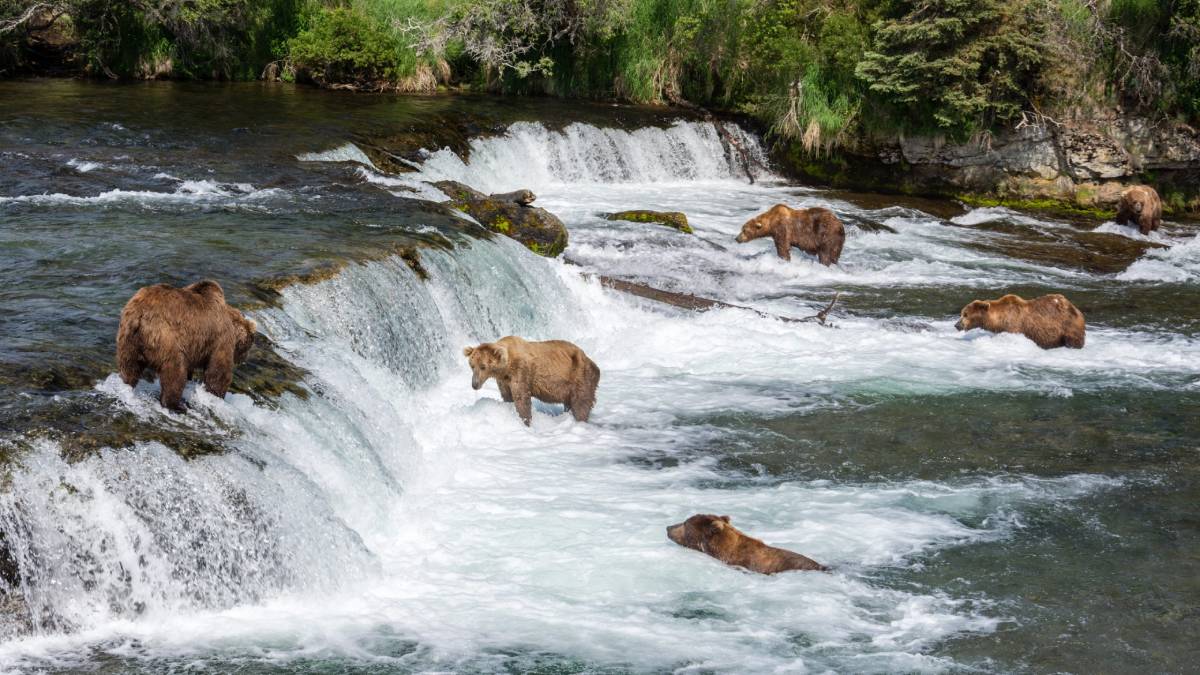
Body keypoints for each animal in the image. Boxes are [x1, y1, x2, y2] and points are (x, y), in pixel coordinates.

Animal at [116, 280, 257, 411]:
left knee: (129, 368)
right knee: (174, 372)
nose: (244, 358)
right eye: (250, 343)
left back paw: (126, 385)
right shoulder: (220, 338)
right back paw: (176, 405)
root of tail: (139, 315)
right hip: (166, 337)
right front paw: (218, 395)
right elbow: (218, 371)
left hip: (128, 340)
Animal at [463, 336, 600, 426]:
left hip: (579, 376)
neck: (506, 368)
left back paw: (580, 421)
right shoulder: (503, 380)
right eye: (472, 366)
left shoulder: (521, 371)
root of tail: (592, 362)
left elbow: (522, 399)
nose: (474, 384)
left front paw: (525, 420)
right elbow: (508, 396)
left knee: (581, 403)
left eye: (483, 366)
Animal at [955, 293, 1085, 349]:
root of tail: (1078, 310)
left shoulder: (1014, 326)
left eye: (965, 314)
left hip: (1068, 325)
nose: (957, 325)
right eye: (961, 313)